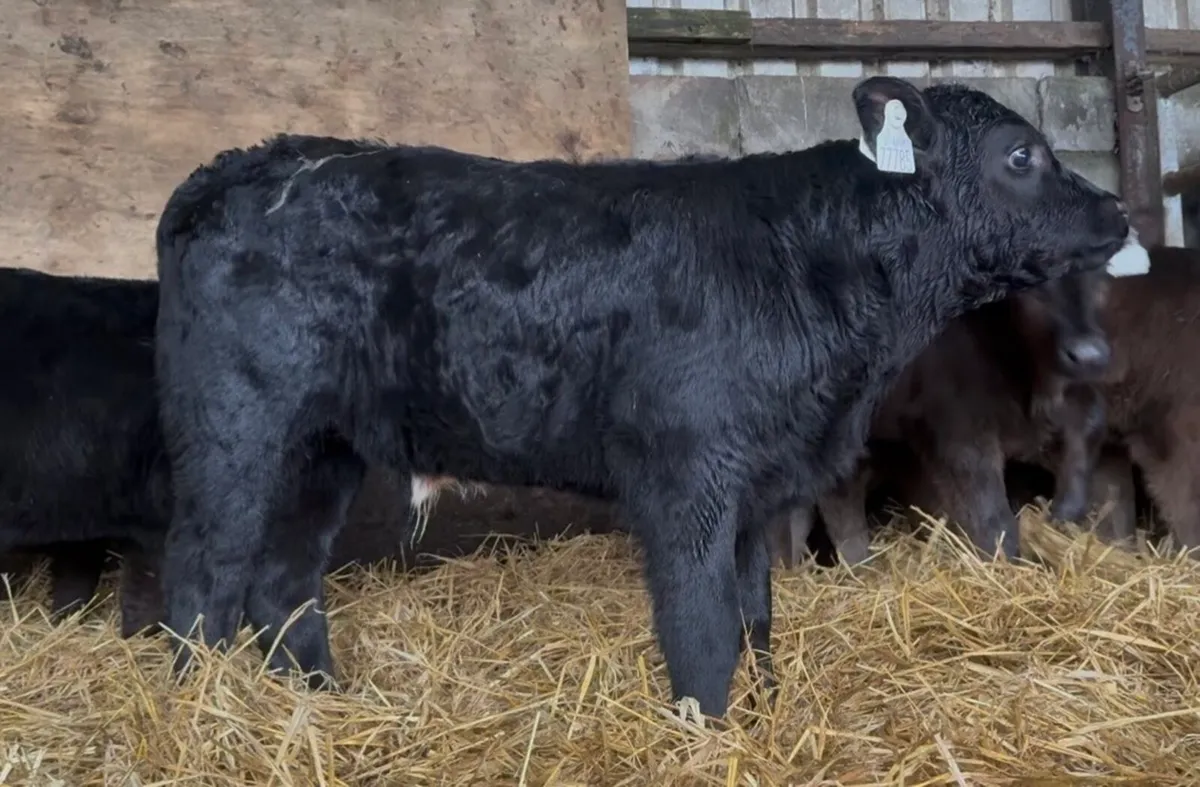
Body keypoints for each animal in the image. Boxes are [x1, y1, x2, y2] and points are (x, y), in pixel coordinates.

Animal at [151, 76, 1131, 720]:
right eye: (1021, 154)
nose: (1119, 210)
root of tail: (245, 163)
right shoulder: (685, 475)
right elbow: (702, 626)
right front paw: (707, 733)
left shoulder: (758, 483)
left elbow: (756, 617)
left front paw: (760, 721)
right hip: (234, 424)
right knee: (200, 576)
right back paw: (193, 717)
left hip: (325, 443)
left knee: (283, 581)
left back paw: (326, 705)